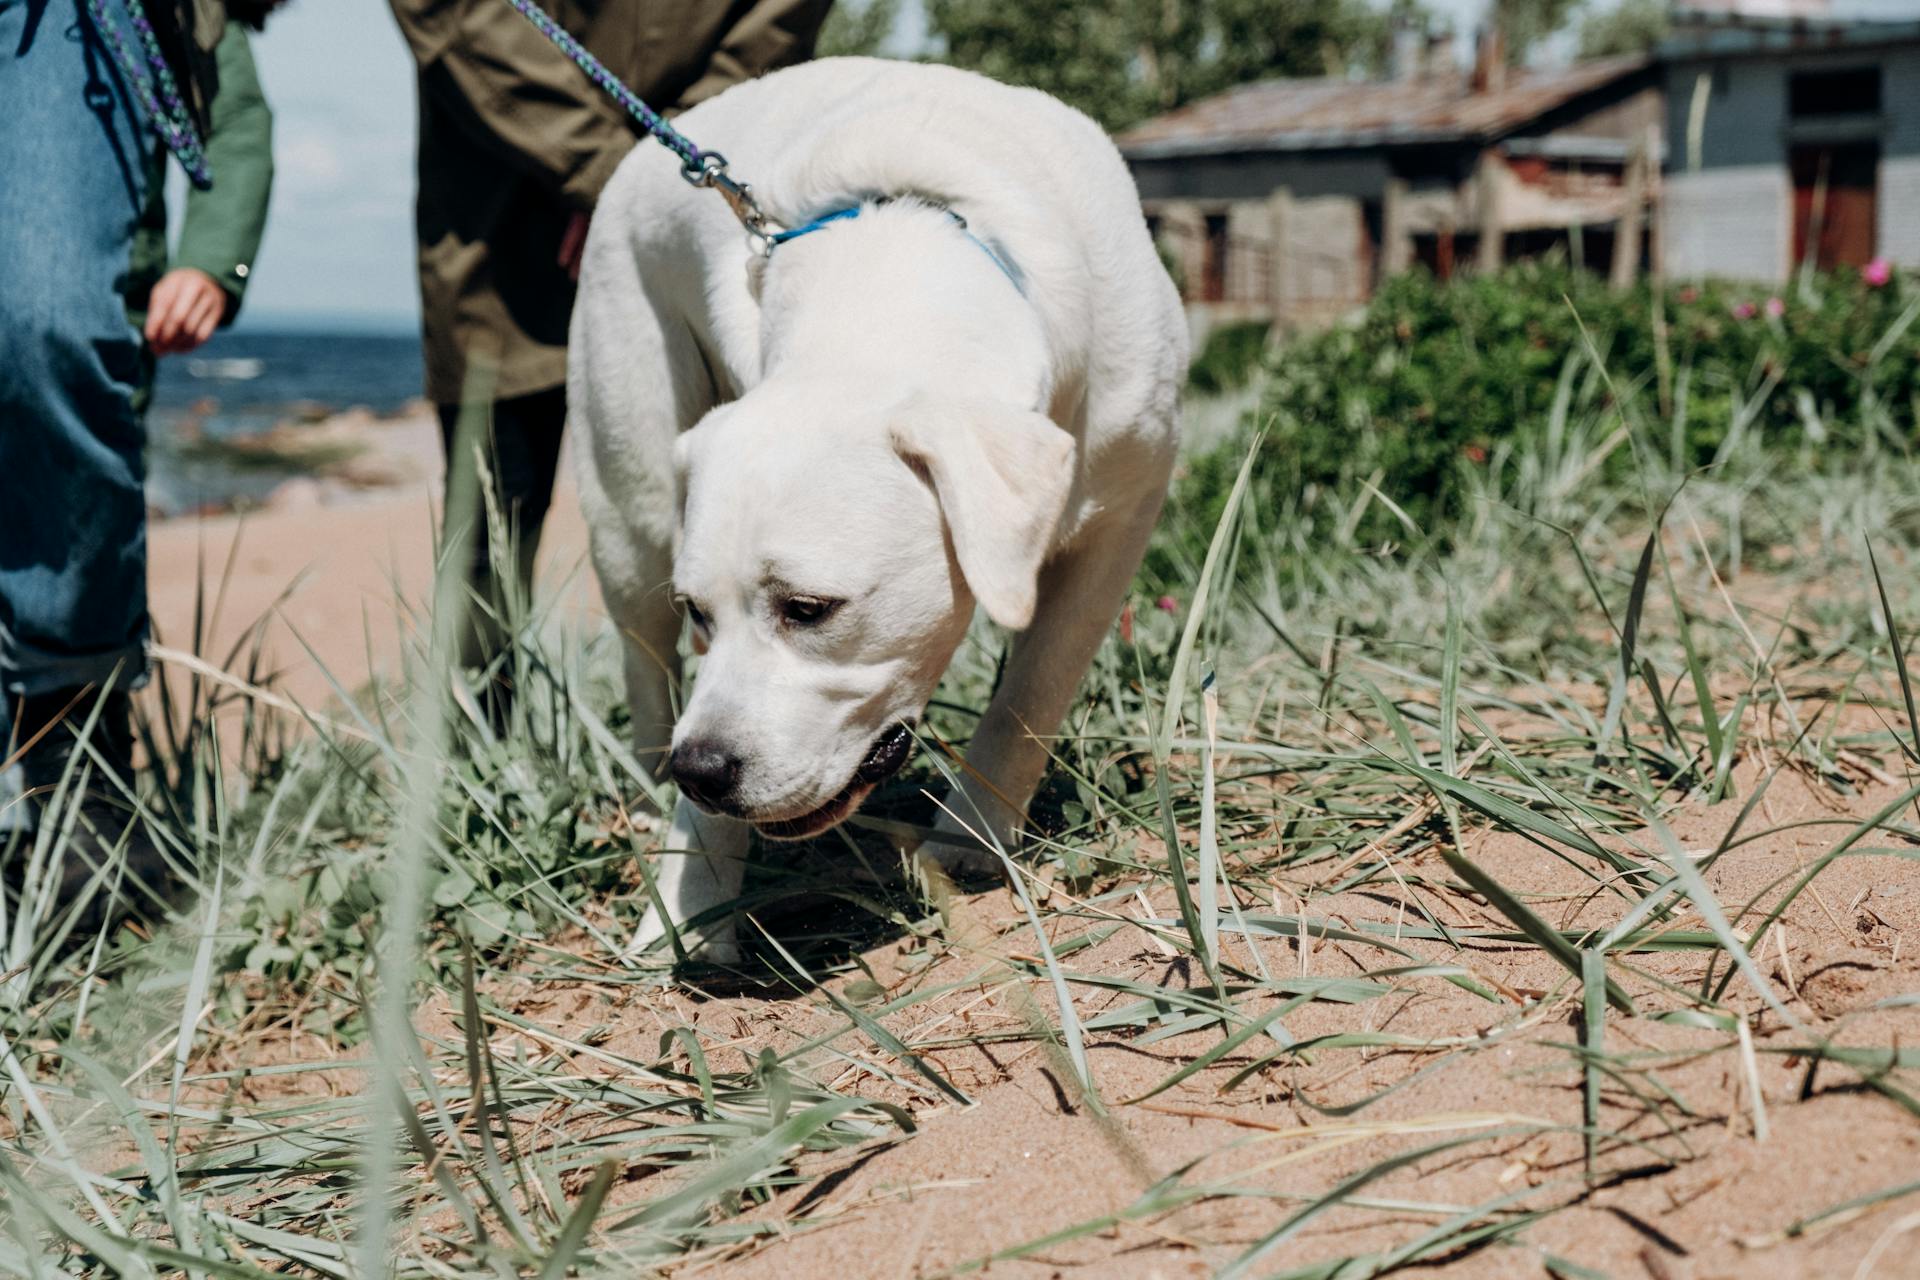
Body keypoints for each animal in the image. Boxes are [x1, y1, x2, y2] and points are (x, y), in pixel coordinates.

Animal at [568, 57, 1182, 959]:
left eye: (809, 608)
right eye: (700, 612)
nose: (702, 771)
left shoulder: (1122, 516)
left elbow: (1033, 688)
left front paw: (974, 834)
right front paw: (688, 907)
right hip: (630, 509)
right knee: (646, 665)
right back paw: (650, 799)